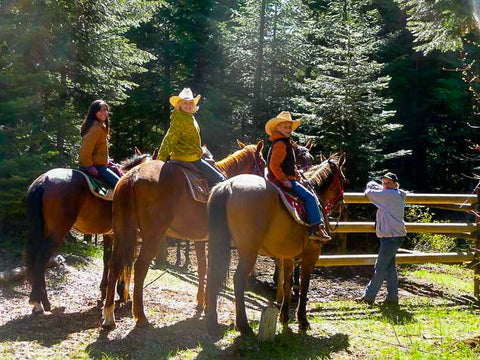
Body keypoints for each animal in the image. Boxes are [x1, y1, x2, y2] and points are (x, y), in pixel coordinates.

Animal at [24, 153, 151, 314]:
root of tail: (45, 179)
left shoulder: (109, 234)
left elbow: (107, 260)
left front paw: (104, 290)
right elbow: (123, 261)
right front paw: (122, 292)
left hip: (41, 231)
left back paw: (37, 301)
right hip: (56, 233)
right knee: (40, 262)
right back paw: (41, 302)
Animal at [102, 140, 266, 330]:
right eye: (263, 163)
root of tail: (133, 175)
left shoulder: (200, 240)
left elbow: (202, 268)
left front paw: (201, 303)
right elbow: (211, 269)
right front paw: (208, 307)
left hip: (122, 231)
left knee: (114, 264)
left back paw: (109, 316)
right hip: (152, 236)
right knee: (140, 267)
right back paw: (141, 316)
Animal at [204, 153, 346, 336]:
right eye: (343, 179)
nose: (342, 204)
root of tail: (228, 186)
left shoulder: (287, 255)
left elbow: (287, 284)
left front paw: (284, 317)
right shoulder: (312, 254)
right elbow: (304, 285)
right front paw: (303, 321)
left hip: (218, 245)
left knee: (212, 274)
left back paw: (211, 321)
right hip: (249, 252)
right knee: (238, 280)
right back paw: (243, 325)